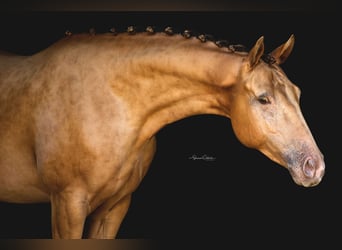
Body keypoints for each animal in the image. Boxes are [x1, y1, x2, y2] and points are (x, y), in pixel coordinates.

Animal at [0, 26, 326, 239]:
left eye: (298, 93)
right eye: (263, 99)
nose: (315, 166)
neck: (110, 101)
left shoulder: (115, 207)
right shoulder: (67, 206)